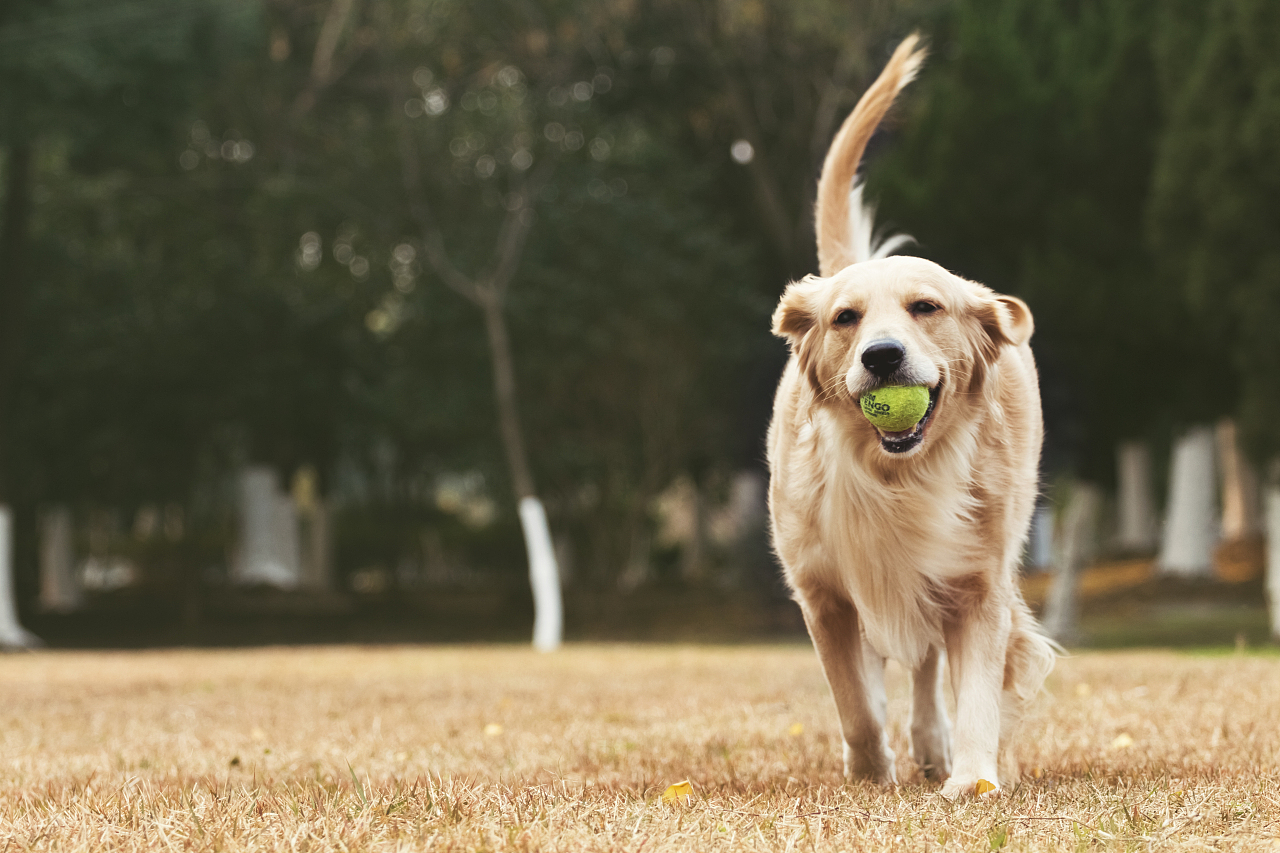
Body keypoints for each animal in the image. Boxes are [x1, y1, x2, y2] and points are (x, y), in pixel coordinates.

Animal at [762, 31, 1054, 788]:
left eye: (926, 307)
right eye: (845, 318)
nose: (883, 356)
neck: (898, 477)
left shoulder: (976, 578)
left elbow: (977, 689)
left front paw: (974, 776)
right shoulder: (826, 590)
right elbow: (855, 703)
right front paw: (870, 772)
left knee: (927, 670)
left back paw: (933, 747)